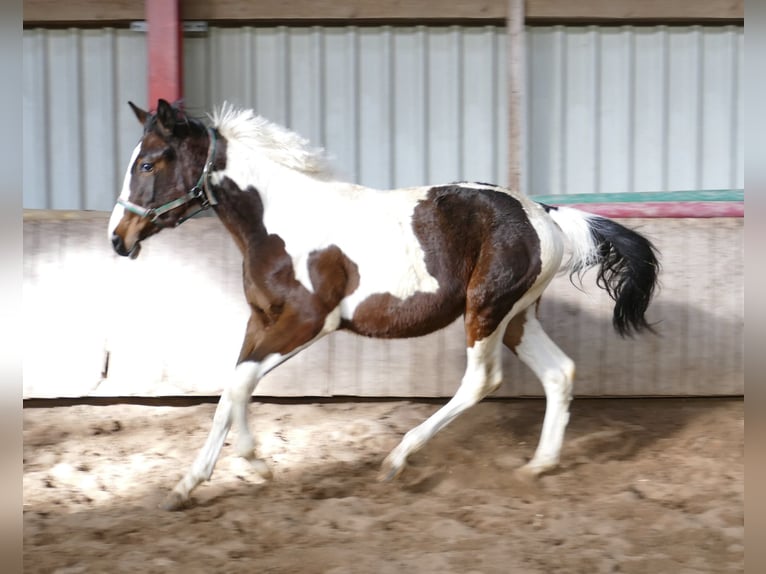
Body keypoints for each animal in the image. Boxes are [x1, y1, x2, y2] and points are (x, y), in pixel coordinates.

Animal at [108, 100, 660, 512]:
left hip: (486, 309)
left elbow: (240, 386)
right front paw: (185, 487)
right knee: (559, 372)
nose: (118, 239)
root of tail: (546, 214)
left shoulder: (308, 321)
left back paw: (397, 458)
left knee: (483, 380)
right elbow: (229, 391)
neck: (277, 222)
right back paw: (538, 466)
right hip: (518, 315)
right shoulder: (261, 321)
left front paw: (256, 463)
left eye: (148, 163)